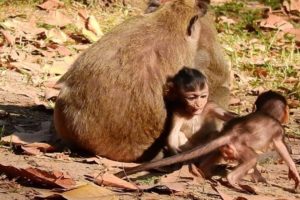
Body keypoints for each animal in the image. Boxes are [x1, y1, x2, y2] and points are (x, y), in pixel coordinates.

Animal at [115, 90, 300, 191]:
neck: (267, 113)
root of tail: (232, 133)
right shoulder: (279, 130)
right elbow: (282, 147)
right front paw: (294, 173)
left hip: (227, 146)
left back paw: (204, 171)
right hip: (239, 146)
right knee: (252, 158)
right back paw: (232, 180)